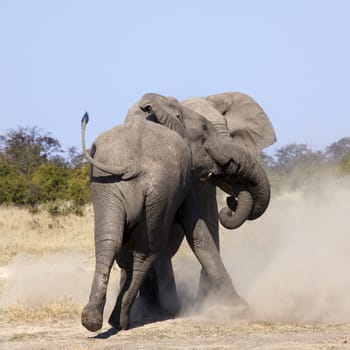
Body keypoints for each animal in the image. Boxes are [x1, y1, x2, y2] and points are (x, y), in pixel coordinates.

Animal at [80, 95, 260, 330]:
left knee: (111, 242)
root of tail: (131, 164)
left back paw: (98, 319)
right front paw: (240, 309)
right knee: (145, 251)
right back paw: (124, 317)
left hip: (109, 186)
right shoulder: (184, 177)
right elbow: (199, 233)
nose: (230, 203)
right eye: (204, 129)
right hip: (153, 188)